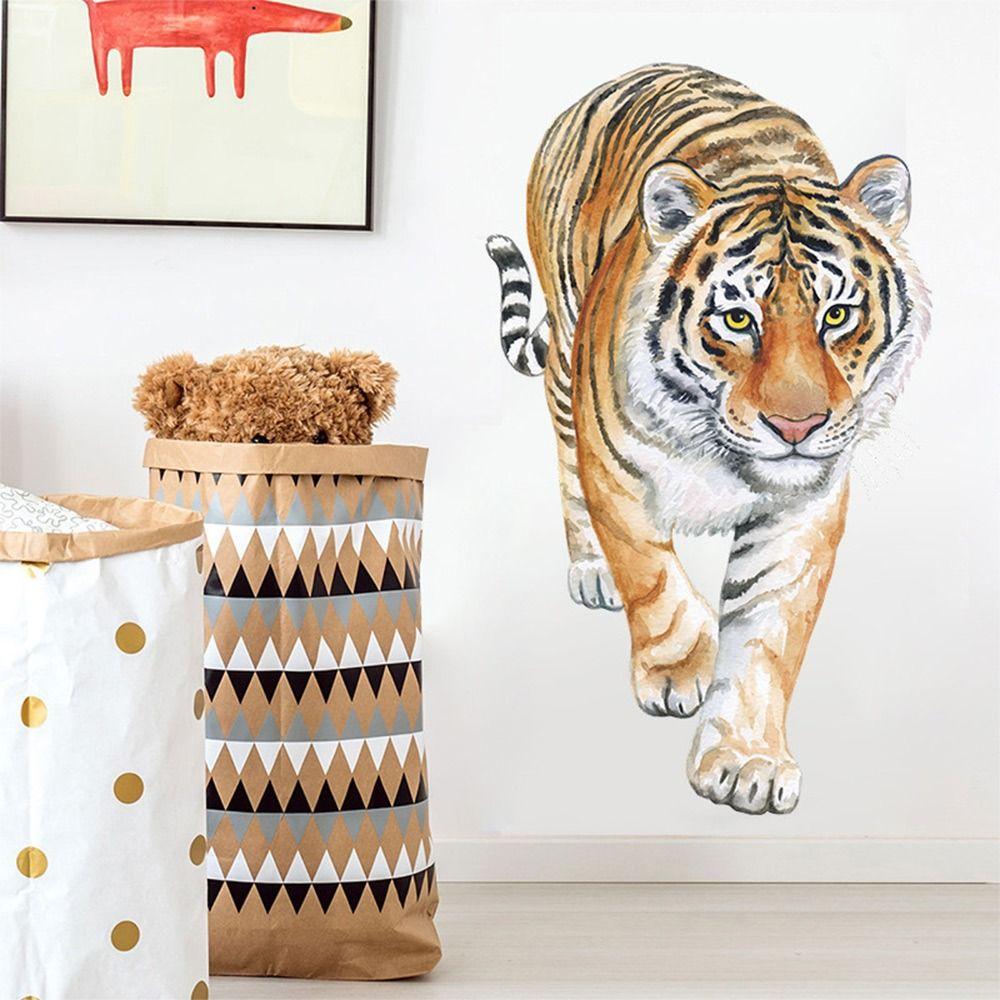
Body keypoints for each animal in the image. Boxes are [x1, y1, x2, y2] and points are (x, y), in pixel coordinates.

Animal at [486, 64, 929, 815]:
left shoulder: (803, 507)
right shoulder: (616, 469)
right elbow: (653, 578)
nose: (797, 426)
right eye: (737, 319)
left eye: (838, 316)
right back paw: (592, 571)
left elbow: (767, 633)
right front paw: (677, 670)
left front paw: (748, 761)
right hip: (567, 359)